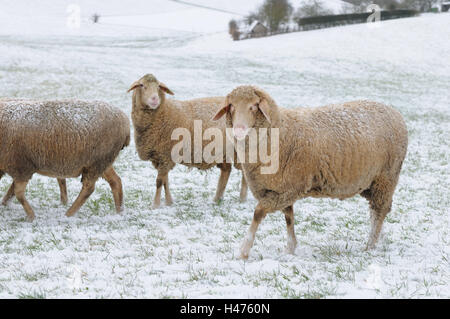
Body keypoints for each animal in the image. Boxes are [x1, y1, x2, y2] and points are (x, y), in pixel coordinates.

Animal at [0, 99, 130, 221]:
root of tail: (125, 122)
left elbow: (18, 193)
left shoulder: (21, 166)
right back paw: (120, 212)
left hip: (97, 162)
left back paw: (68, 214)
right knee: (115, 181)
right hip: (102, 162)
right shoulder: (18, 167)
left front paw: (31, 216)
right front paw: (5, 204)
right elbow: (13, 190)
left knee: (89, 188)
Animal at [126, 75, 248, 210]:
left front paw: (155, 205)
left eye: (158, 86)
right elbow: (165, 182)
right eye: (141, 85)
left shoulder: (165, 155)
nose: (155, 99)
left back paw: (242, 199)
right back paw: (217, 199)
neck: (163, 113)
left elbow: (159, 182)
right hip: (223, 152)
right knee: (226, 171)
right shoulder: (161, 156)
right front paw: (169, 202)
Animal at [214, 85, 408, 260]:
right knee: (378, 210)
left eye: (254, 106)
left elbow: (258, 213)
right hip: (369, 183)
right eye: (231, 106)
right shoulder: (283, 189)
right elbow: (289, 217)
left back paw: (370, 245)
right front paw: (290, 248)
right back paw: (380, 238)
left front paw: (244, 251)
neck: (280, 132)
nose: (239, 130)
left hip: (386, 177)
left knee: (379, 211)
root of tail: (395, 112)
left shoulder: (289, 189)